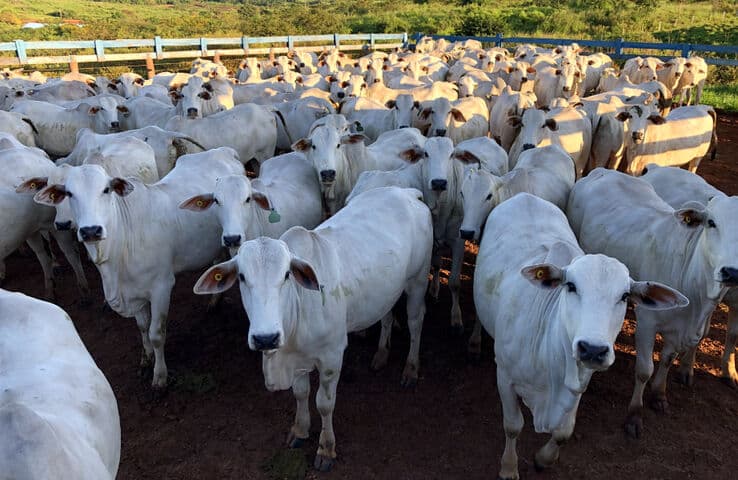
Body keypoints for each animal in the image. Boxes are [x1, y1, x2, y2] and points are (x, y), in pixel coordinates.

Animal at [33, 148, 244, 388]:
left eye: (106, 190)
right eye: (69, 193)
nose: (91, 231)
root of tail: (224, 151)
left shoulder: (162, 287)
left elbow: (156, 333)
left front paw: (160, 376)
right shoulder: (134, 293)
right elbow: (143, 327)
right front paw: (146, 358)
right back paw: (214, 300)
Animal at [193, 187, 432, 472]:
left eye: (287, 275)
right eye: (241, 277)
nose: (265, 338)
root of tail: (406, 192)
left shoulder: (332, 357)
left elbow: (324, 403)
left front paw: (326, 448)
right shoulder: (296, 357)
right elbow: (300, 393)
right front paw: (299, 430)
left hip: (418, 281)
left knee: (416, 322)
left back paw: (411, 369)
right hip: (387, 289)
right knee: (386, 315)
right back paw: (381, 354)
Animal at [472, 192, 684, 480]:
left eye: (625, 296)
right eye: (571, 286)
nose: (592, 349)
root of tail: (525, 195)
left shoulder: (581, 380)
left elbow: (564, 432)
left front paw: (543, 459)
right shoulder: (504, 376)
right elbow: (513, 426)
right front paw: (508, 468)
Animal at [568, 169, 732, 438]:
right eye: (711, 222)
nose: (731, 272)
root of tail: (602, 171)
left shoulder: (679, 330)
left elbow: (667, 359)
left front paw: (659, 395)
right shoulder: (647, 322)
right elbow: (645, 370)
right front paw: (634, 415)